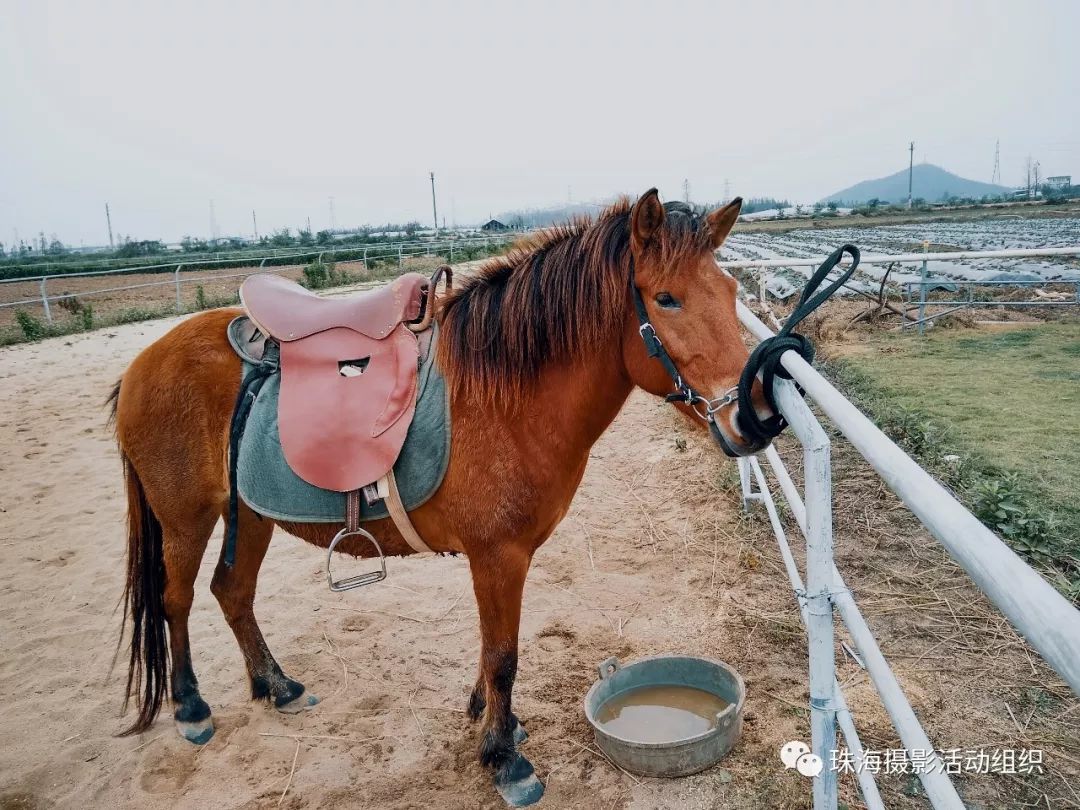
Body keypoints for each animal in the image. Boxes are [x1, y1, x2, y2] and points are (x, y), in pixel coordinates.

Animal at [107, 189, 768, 807]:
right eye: (666, 299)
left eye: (731, 289)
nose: (756, 415)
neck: (503, 395)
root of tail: (144, 362)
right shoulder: (498, 556)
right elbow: (502, 654)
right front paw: (504, 760)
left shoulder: (499, 560)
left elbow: (491, 648)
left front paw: (497, 724)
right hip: (186, 517)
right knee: (176, 600)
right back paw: (191, 707)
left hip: (249, 512)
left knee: (232, 592)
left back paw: (278, 685)